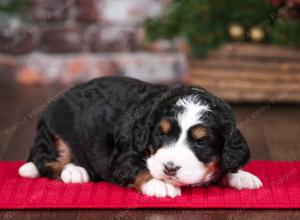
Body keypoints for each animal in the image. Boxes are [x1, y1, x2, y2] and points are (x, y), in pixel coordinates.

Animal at [18, 76, 262, 198]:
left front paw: (242, 176)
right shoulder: (122, 158)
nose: (170, 168)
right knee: (43, 158)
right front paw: (160, 184)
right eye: (160, 134)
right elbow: (140, 169)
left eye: (201, 142)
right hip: (55, 131)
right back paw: (74, 171)